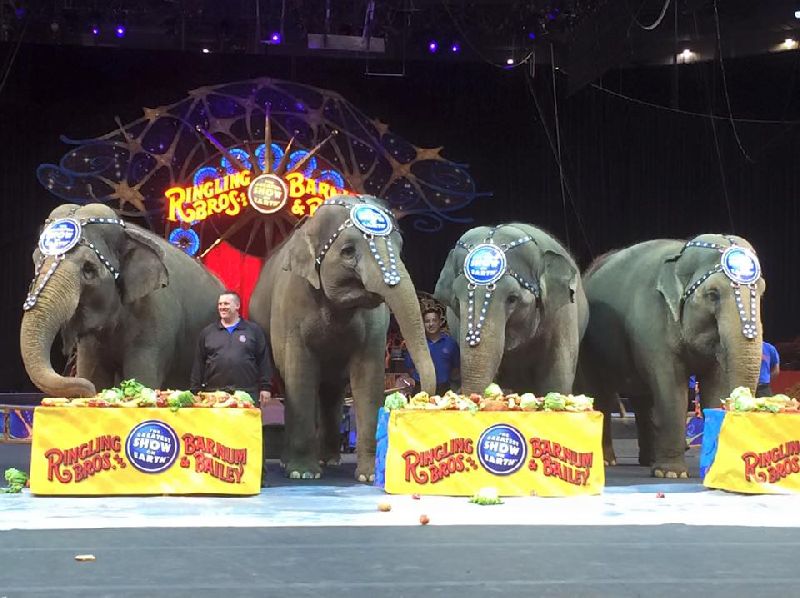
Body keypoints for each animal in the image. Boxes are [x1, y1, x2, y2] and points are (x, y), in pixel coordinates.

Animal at [20, 205, 223, 398]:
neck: (127, 229)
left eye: (89, 269)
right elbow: (94, 374)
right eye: (36, 260)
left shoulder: (155, 320)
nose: (87, 390)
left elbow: (142, 379)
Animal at [250, 193, 438, 482]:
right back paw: (291, 463)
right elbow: (299, 372)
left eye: (399, 248)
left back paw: (330, 460)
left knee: (331, 390)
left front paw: (368, 477)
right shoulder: (290, 306)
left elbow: (368, 375)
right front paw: (303, 474)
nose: (411, 388)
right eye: (348, 251)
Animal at [576, 233, 764, 478]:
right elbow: (671, 389)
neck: (680, 256)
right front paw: (672, 474)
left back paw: (648, 461)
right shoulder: (653, 323)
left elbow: (715, 387)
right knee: (601, 394)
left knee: (643, 400)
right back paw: (609, 461)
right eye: (713, 295)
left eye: (761, 292)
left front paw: (708, 470)